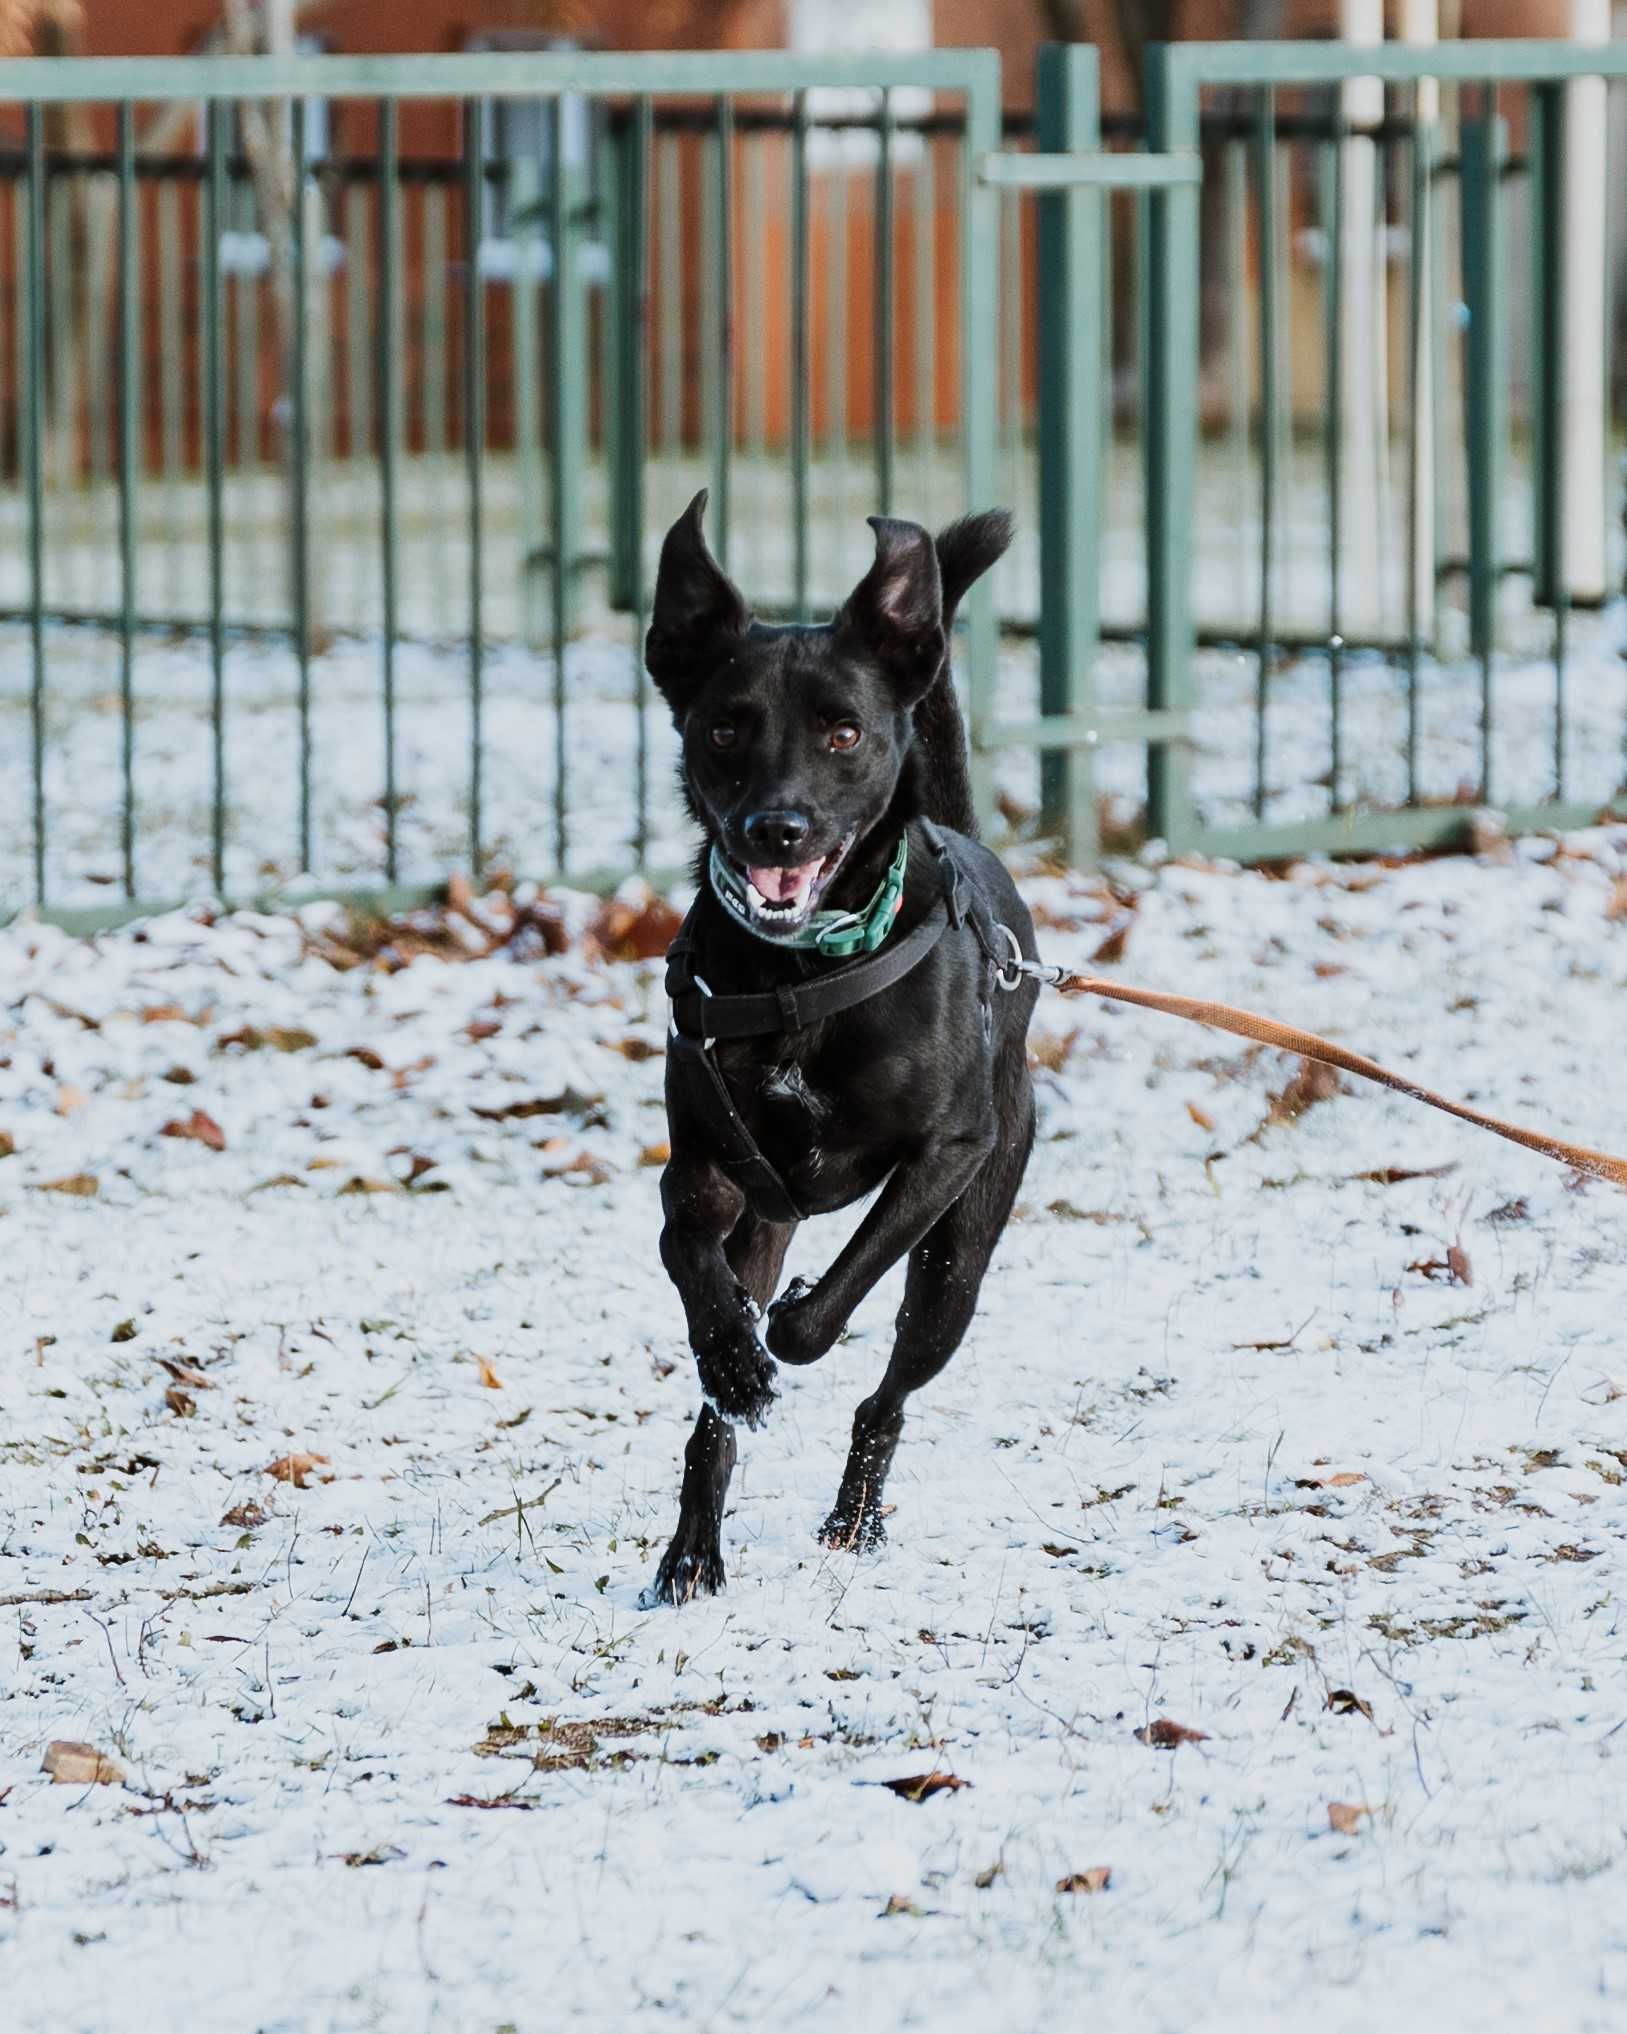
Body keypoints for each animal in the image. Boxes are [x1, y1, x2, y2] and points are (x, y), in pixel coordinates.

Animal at [642, 492, 1037, 1602]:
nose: (775, 828)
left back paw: (853, 1517)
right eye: (724, 725)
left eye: (844, 733)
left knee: (888, 1392)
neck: (801, 973)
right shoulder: (705, 1168)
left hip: (959, 1267)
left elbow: (834, 1299)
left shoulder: (946, 1157)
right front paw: (732, 1357)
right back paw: (692, 1549)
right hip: (770, 1222)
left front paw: (787, 1326)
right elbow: (686, 1253)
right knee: (713, 1430)